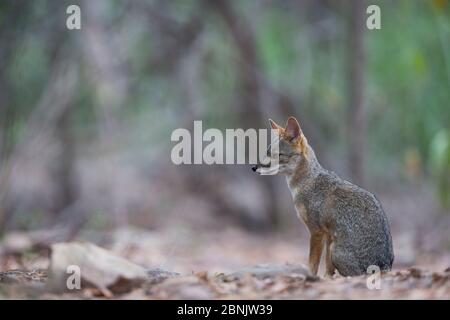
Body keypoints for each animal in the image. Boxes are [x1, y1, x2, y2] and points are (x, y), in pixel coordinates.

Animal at [253, 116, 394, 276]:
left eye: (278, 155)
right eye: (266, 153)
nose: (253, 167)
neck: (308, 181)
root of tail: (383, 266)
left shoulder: (316, 231)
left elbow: (313, 264)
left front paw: (310, 277)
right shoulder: (328, 234)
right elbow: (328, 268)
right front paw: (326, 278)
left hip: (335, 249)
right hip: (332, 245)